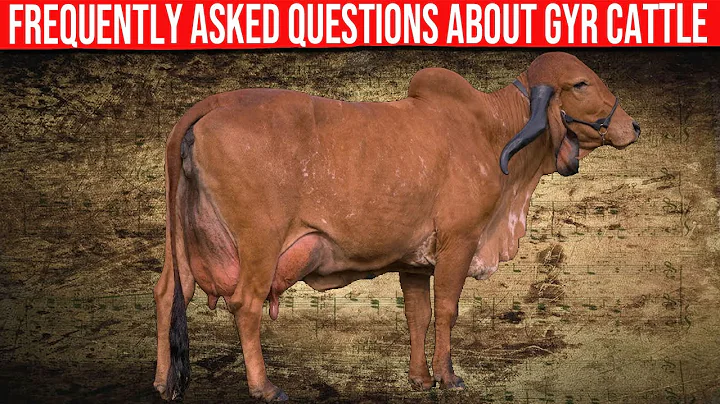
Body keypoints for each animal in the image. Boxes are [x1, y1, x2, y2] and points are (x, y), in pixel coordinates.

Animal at [152, 52, 640, 401]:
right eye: (580, 83)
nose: (632, 126)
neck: (494, 131)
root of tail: (218, 101)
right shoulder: (458, 243)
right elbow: (447, 311)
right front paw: (448, 377)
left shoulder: (414, 263)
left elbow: (417, 315)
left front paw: (420, 378)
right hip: (260, 245)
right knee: (246, 305)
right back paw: (264, 388)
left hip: (180, 246)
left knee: (168, 294)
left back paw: (162, 382)